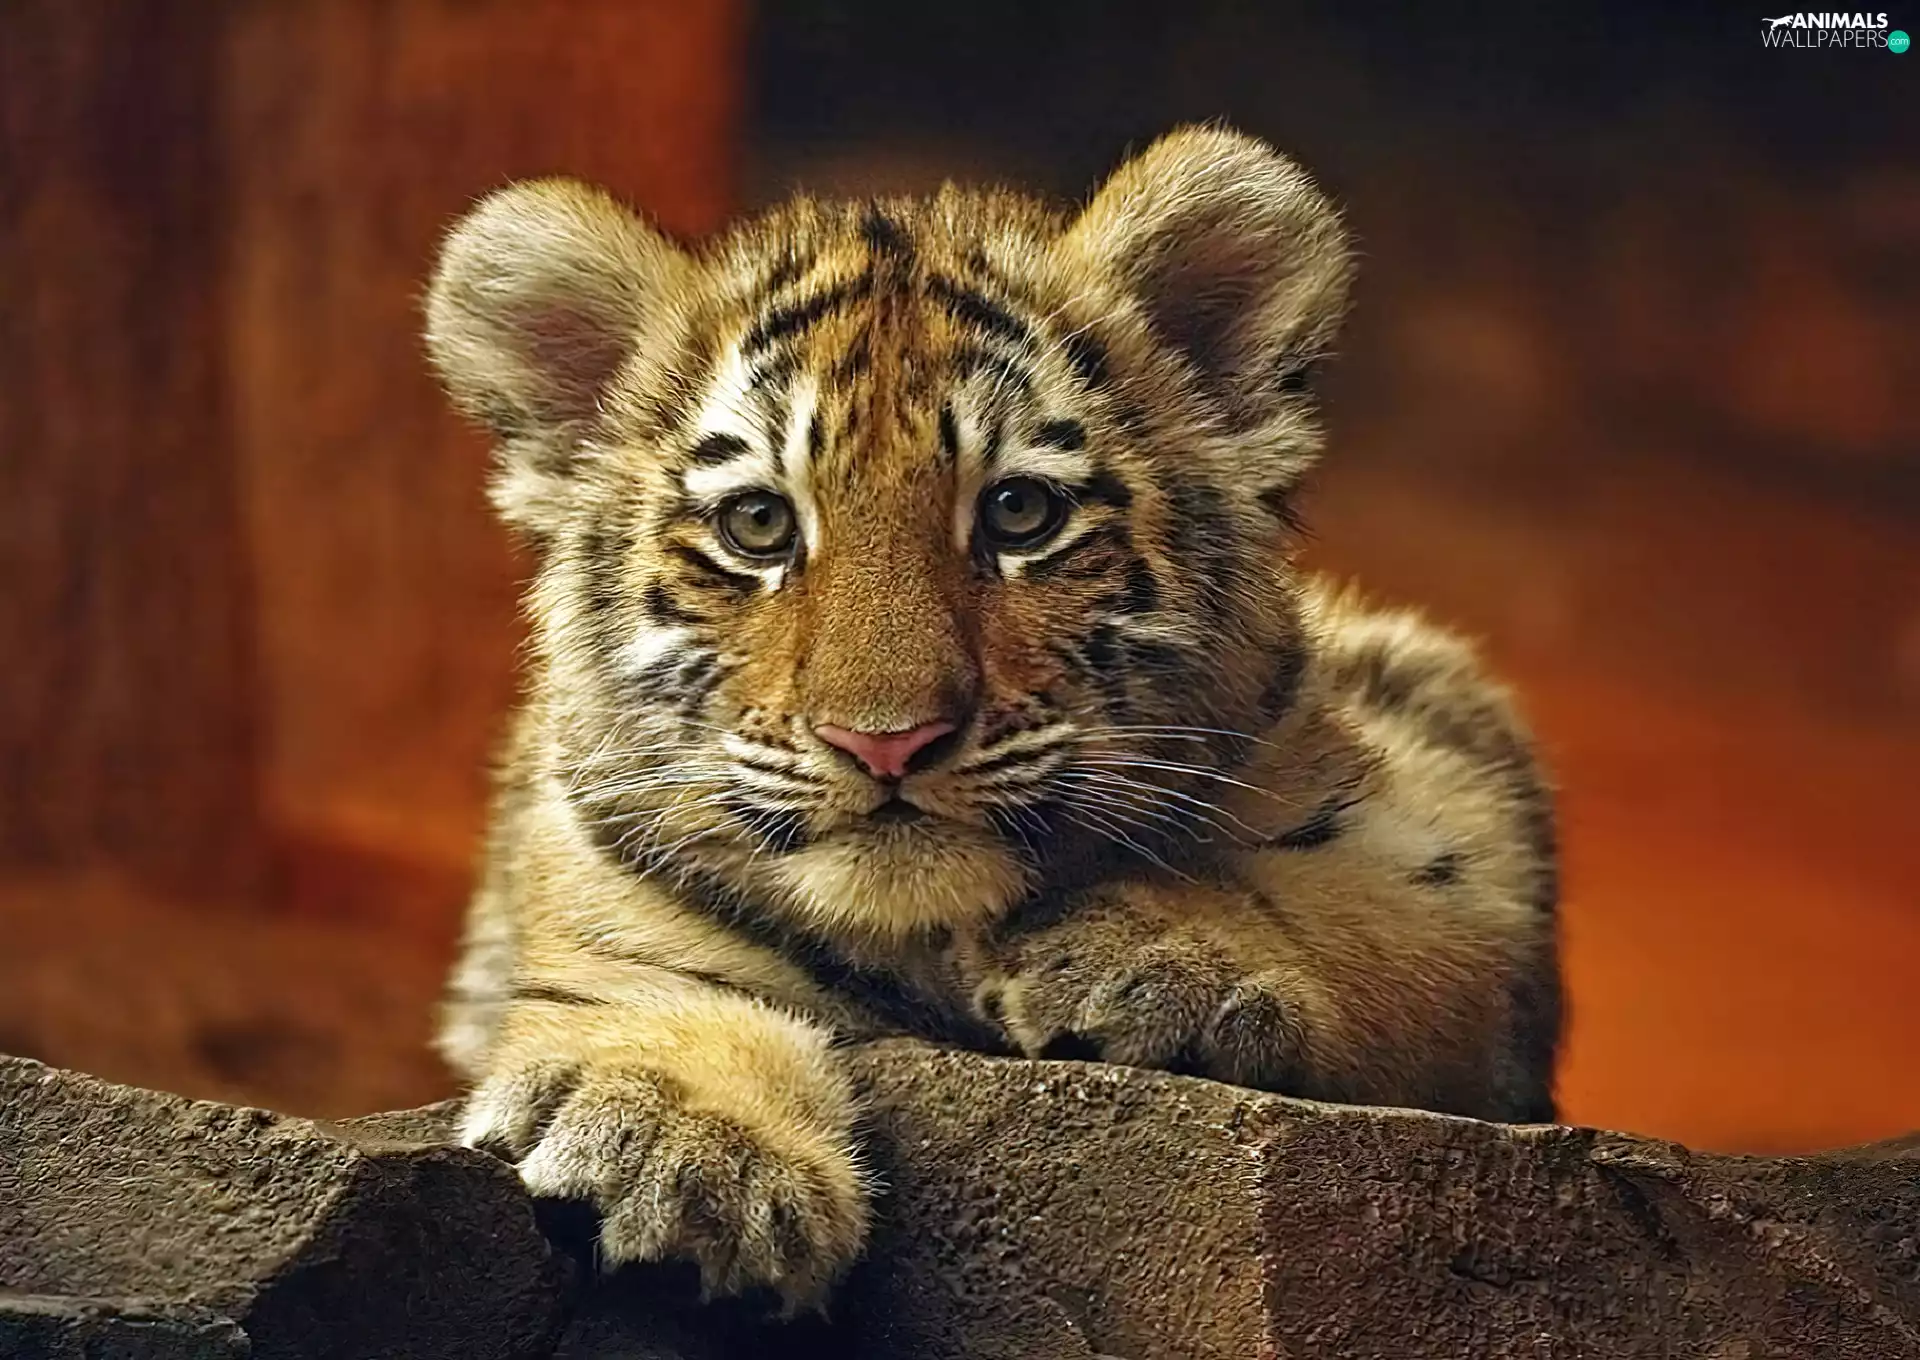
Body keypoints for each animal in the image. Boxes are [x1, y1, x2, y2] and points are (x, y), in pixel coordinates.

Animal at [422, 126, 1560, 1313]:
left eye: (1020, 511)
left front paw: (1157, 956)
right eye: (758, 524)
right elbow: (638, 966)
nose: (885, 740)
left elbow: (1337, 902)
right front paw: (675, 1144)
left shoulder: (1454, 850)